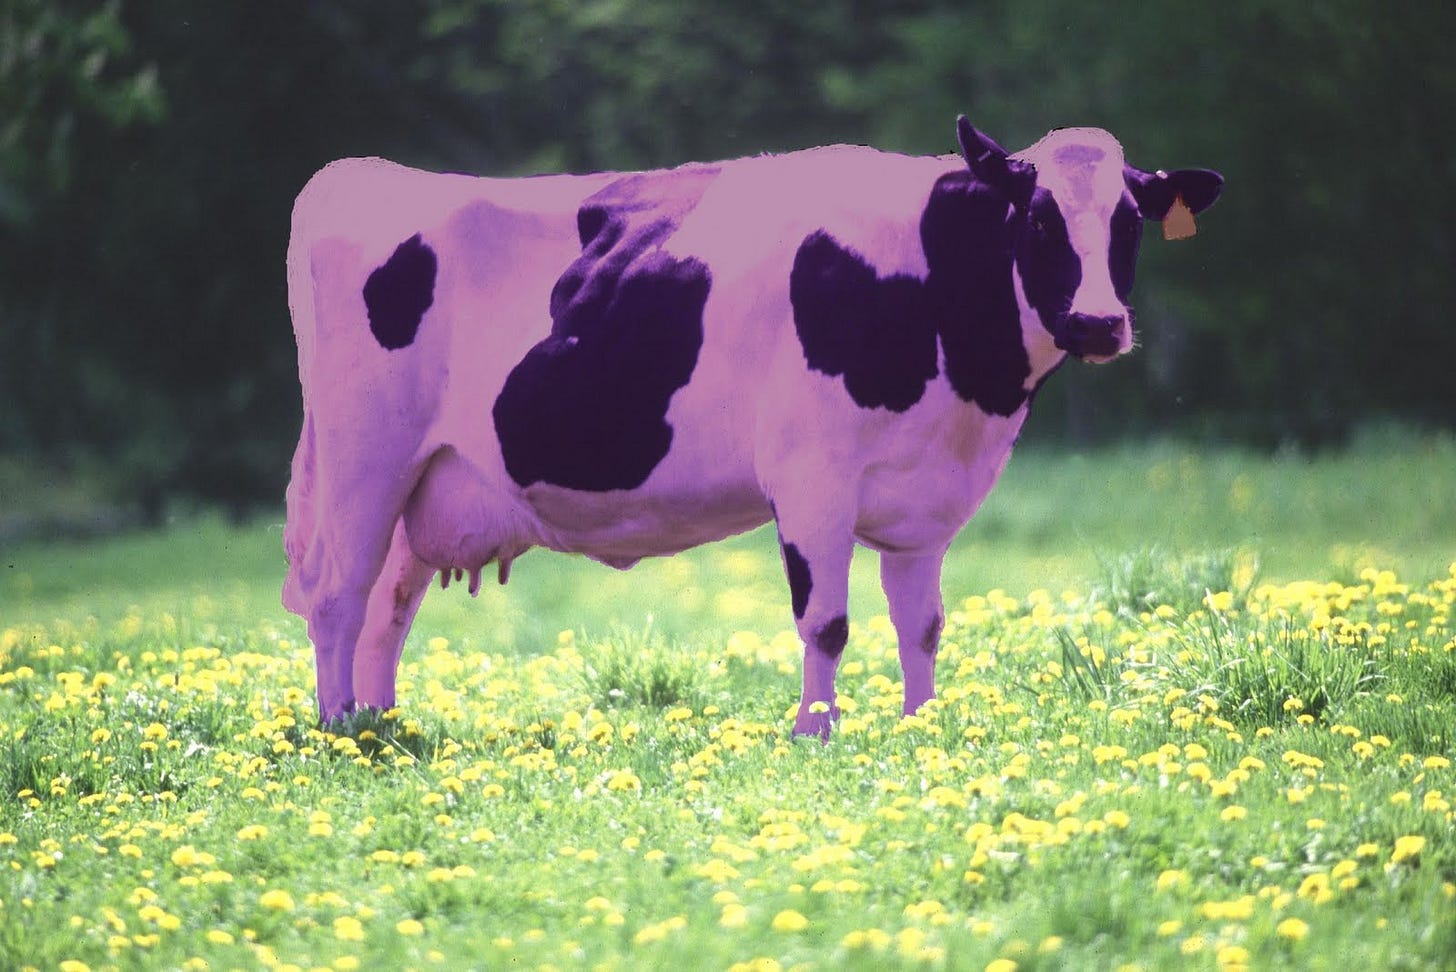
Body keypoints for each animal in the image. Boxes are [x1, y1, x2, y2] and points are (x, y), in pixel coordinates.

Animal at [282, 117, 1222, 739]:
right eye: (1037, 218)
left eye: (1129, 223)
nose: (1099, 322)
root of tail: (364, 175)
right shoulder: (812, 476)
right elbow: (827, 621)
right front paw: (814, 734)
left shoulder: (925, 501)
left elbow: (922, 625)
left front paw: (922, 728)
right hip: (365, 457)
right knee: (338, 596)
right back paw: (339, 731)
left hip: (427, 481)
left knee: (388, 606)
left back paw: (381, 724)